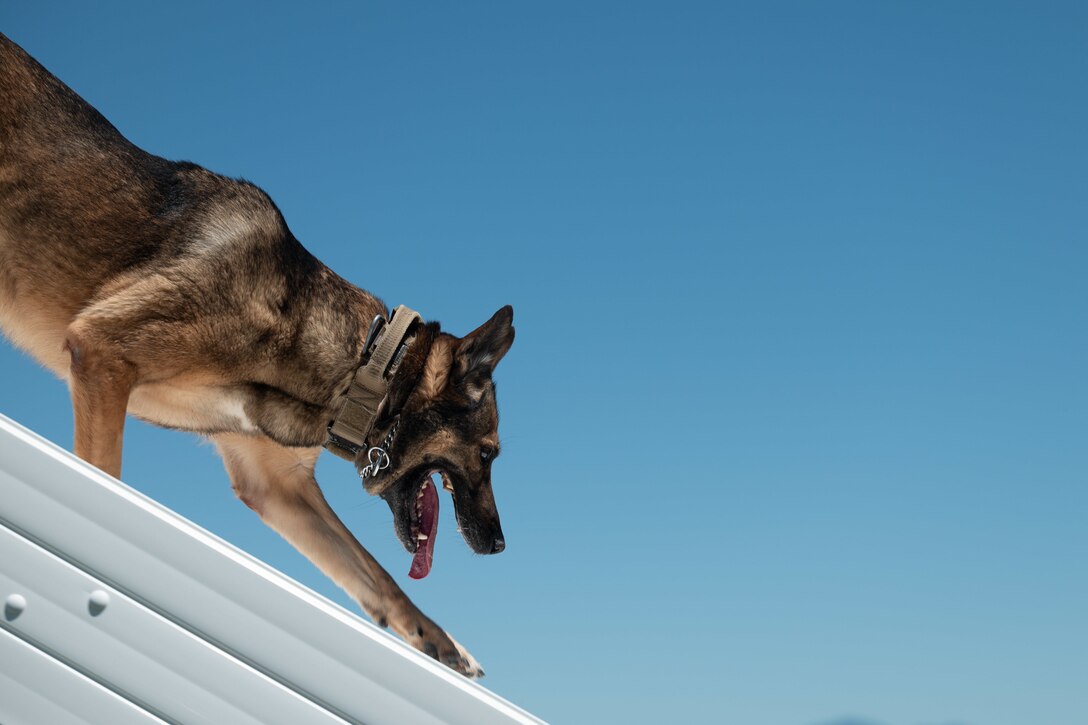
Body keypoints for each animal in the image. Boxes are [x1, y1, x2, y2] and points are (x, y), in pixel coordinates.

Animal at [0, 32, 513, 679]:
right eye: (489, 454)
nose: (499, 545)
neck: (361, 367)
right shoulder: (102, 352)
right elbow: (105, 483)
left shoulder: (276, 487)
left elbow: (379, 577)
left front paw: (442, 644)